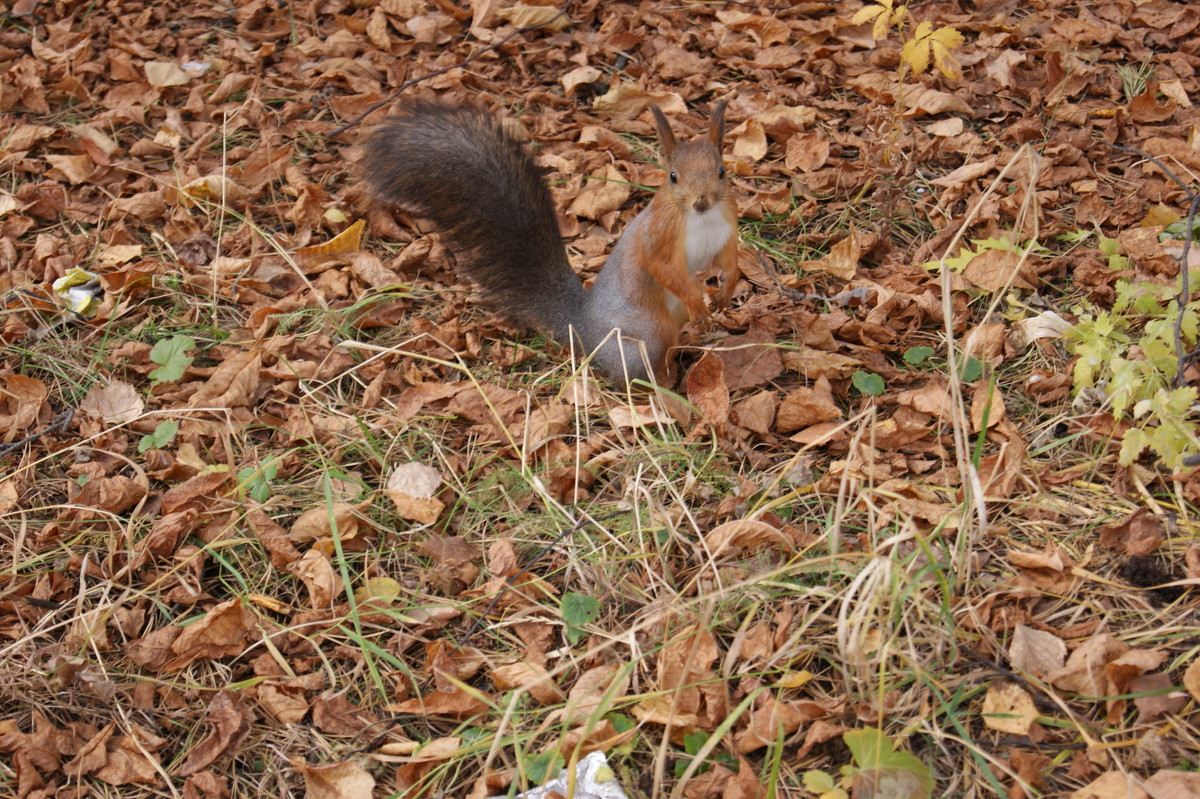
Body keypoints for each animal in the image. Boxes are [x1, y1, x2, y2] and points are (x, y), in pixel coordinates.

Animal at [360, 99, 734, 386]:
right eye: (673, 176)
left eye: (721, 171)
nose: (701, 201)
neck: (701, 219)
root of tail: (584, 327)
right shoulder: (658, 235)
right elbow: (662, 268)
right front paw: (698, 302)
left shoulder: (727, 229)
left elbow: (729, 260)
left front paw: (725, 291)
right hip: (646, 332)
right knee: (633, 376)